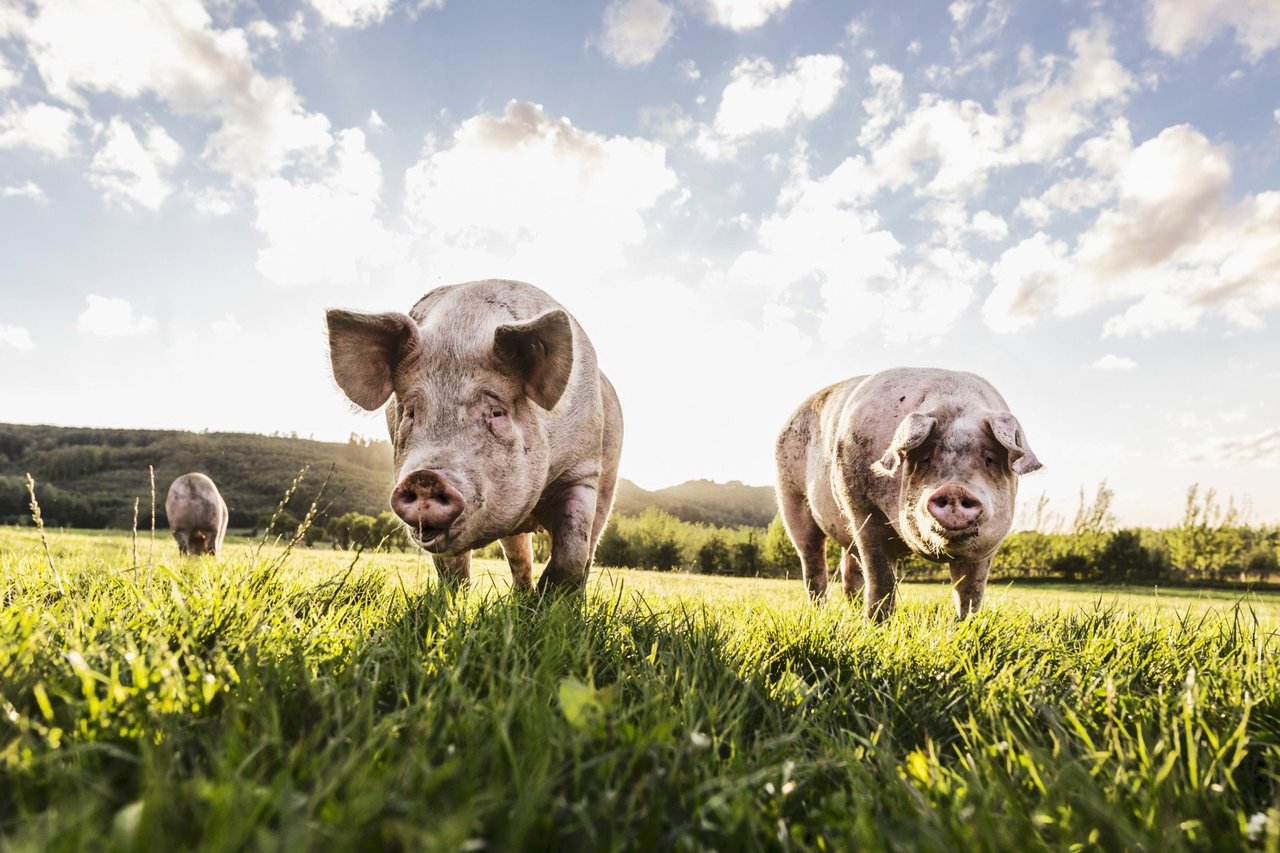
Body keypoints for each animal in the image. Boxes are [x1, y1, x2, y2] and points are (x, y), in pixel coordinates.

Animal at [327, 279, 622, 591]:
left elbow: (573, 549)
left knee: (589, 546)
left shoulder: (582, 469)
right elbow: (452, 568)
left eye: (496, 412)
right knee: (519, 554)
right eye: (410, 412)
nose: (425, 478)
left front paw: (553, 600)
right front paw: (452, 600)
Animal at [778, 366, 1039, 617]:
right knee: (813, 563)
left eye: (989, 459)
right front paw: (876, 625)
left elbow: (970, 591)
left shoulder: (988, 547)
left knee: (849, 569)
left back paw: (852, 611)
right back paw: (820, 612)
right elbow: (882, 579)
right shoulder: (862, 508)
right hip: (792, 499)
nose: (955, 489)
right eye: (925, 458)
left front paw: (964, 625)